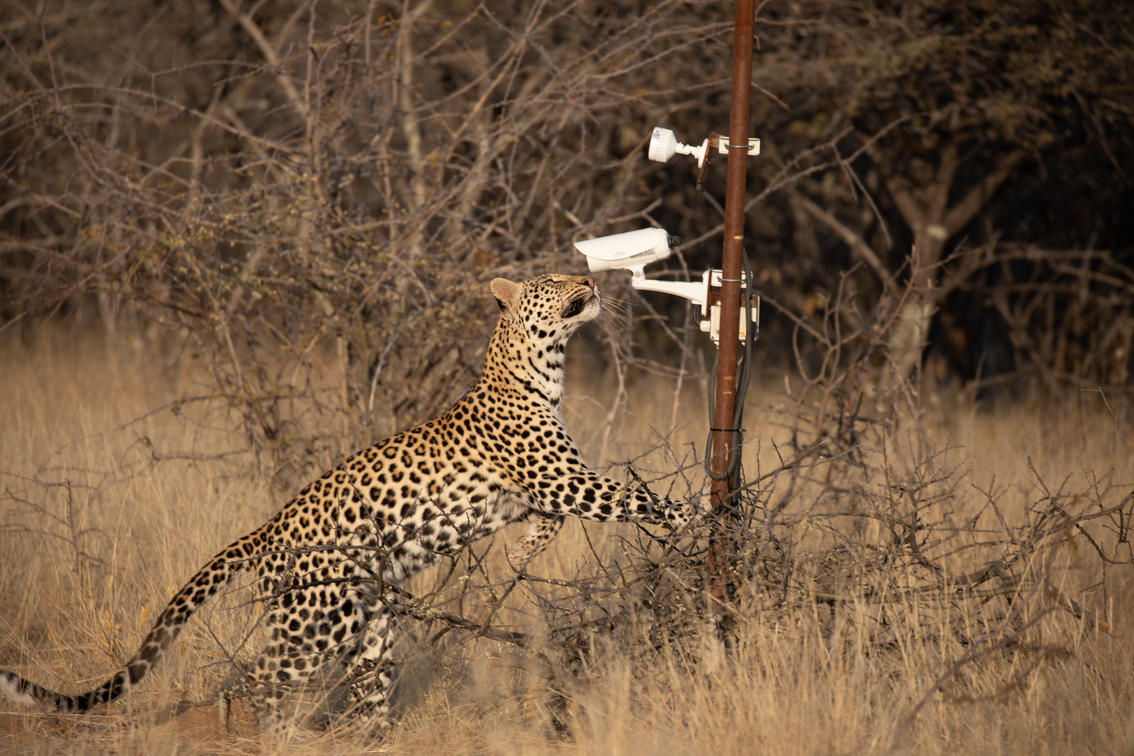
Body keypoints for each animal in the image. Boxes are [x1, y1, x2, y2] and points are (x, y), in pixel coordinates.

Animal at [0, 273, 701, 735]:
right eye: (554, 278)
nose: (590, 277)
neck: (542, 369)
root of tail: (267, 528)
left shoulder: (541, 491)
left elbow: (552, 523)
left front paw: (523, 557)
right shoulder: (562, 479)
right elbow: (634, 496)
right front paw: (696, 514)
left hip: (370, 621)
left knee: (367, 687)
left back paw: (375, 738)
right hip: (317, 618)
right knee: (260, 675)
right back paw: (267, 737)